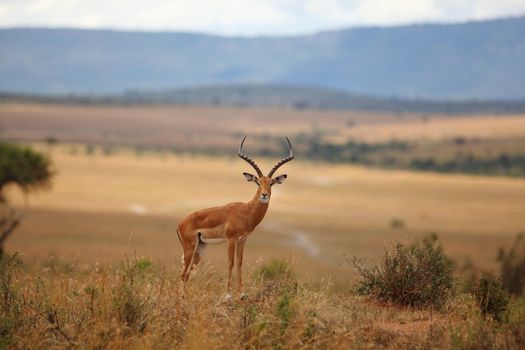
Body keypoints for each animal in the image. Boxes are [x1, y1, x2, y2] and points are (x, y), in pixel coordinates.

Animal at [175, 137, 290, 298]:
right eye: (258, 182)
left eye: (271, 183)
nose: (264, 195)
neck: (246, 211)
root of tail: (180, 224)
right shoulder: (231, 239)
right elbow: (231, 263)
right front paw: (228, 295)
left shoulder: (242, 240)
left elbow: (240, 263)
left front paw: (242, 294)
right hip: (190, 248)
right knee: (183, 272)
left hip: (200, 248)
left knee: (185, 272)